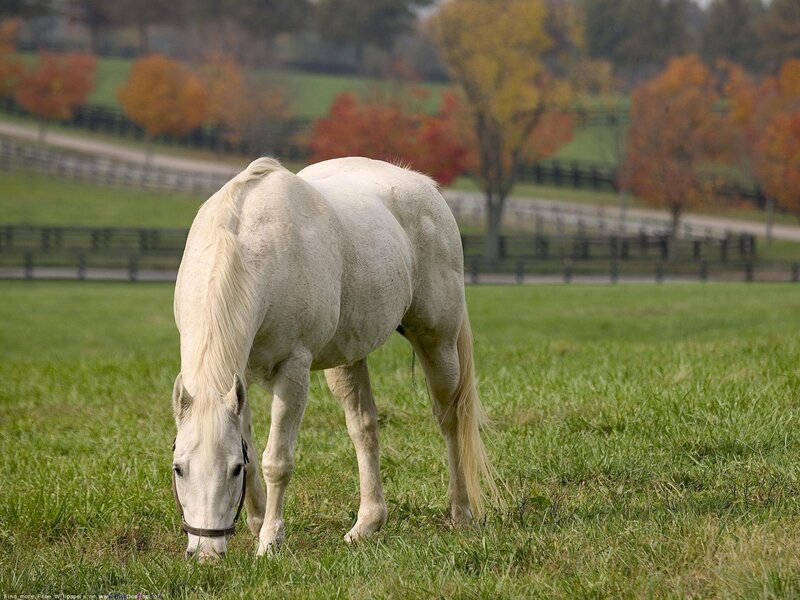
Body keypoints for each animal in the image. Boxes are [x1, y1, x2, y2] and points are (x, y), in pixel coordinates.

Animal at [171, 156, 495, 560]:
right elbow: (254, 449)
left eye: (232, 470)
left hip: (438, 343)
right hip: (349, 359)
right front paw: (257, 524)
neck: (248, 247)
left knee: (451, 420)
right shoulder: (238, 377)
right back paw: (367, 524)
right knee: (364, 428)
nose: (206, 553)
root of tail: (424, 185)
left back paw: (461, 512)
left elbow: (277, 460)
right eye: (179, 469)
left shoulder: (293, 371)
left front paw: (270, 541)